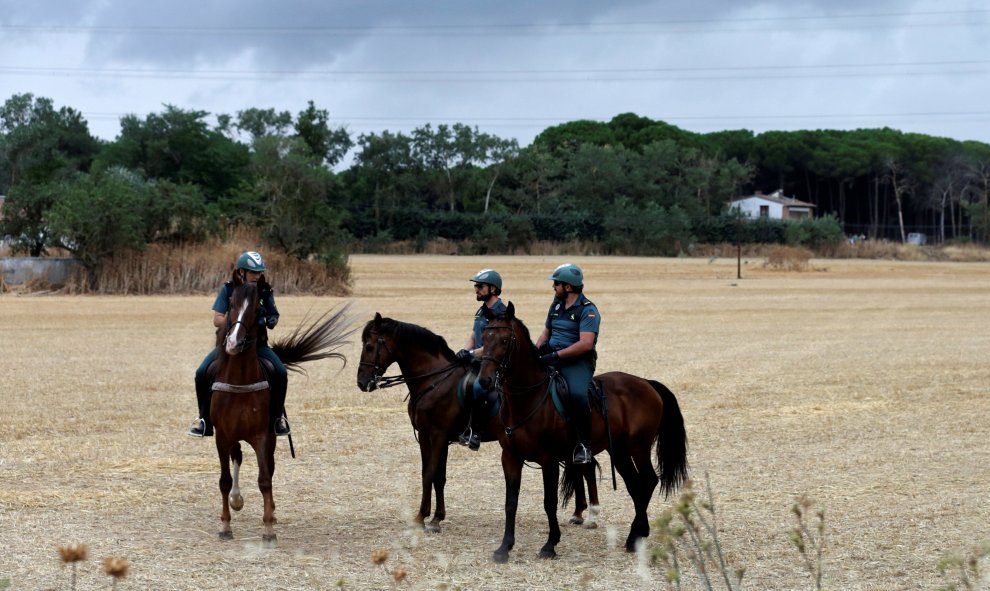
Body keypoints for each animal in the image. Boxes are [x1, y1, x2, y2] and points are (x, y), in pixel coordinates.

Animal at [211, 272, 354, 544]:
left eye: (258, 310)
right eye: (232, 303)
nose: (233, 343)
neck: (239, 380)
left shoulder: (262, 437)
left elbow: (265, 480)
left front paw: (268, 528)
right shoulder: (222, 436)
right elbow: (224, 480)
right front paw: (225, 525)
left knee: (268, 468)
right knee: (237, 458)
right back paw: (236, 500)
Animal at [356, 316, 604, 536]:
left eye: (369, 346)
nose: (361, 382)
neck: (434, 380)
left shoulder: (436, 436)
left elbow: (430, 475)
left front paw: (423, 518)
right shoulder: (429, 437)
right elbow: (437, 477)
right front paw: (436, 518)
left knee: (587, 467)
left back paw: (591, 516)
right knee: (581, 467)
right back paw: (579, 513)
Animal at [476, 306, 684, 564]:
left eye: (505, 340)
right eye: (484, 338)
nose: (484, 380)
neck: (528, 398)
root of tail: (646, 383)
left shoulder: (549, 460)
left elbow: (550, 502)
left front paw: (550, 545)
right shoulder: (511, 458)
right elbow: (510, 502)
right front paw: (504, 547)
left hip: (638, 447)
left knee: (648, 481)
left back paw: (635, 535)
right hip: (620, 452)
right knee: (636, 486)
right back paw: (636, 535)